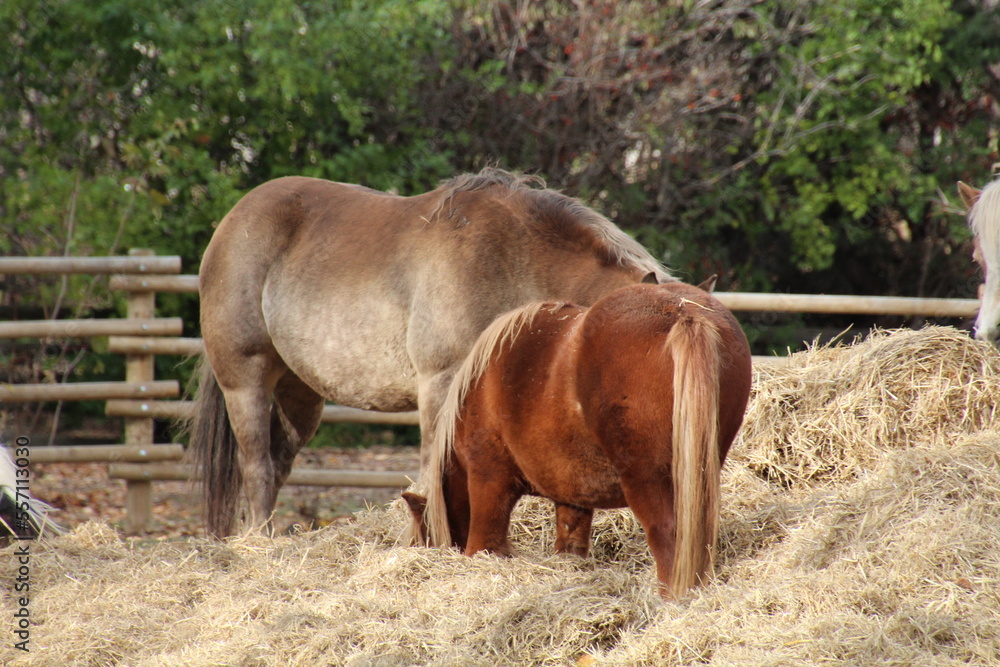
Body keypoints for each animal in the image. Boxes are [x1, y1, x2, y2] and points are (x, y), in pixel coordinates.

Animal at [189, 168, 674, 536]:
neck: (509, 263)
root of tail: (232, 221)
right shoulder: (440, 385)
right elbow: (432, 471)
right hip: (245, 381)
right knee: (256, 465)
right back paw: (259, 543)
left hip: (301, 395)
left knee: (277, 462)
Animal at [402, 280, 752, 600]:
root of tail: (681, 310)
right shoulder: (573, 499)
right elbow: (570, 544)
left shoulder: (489, 480)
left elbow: (483, 545)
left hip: (648, 480)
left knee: (669, 535)